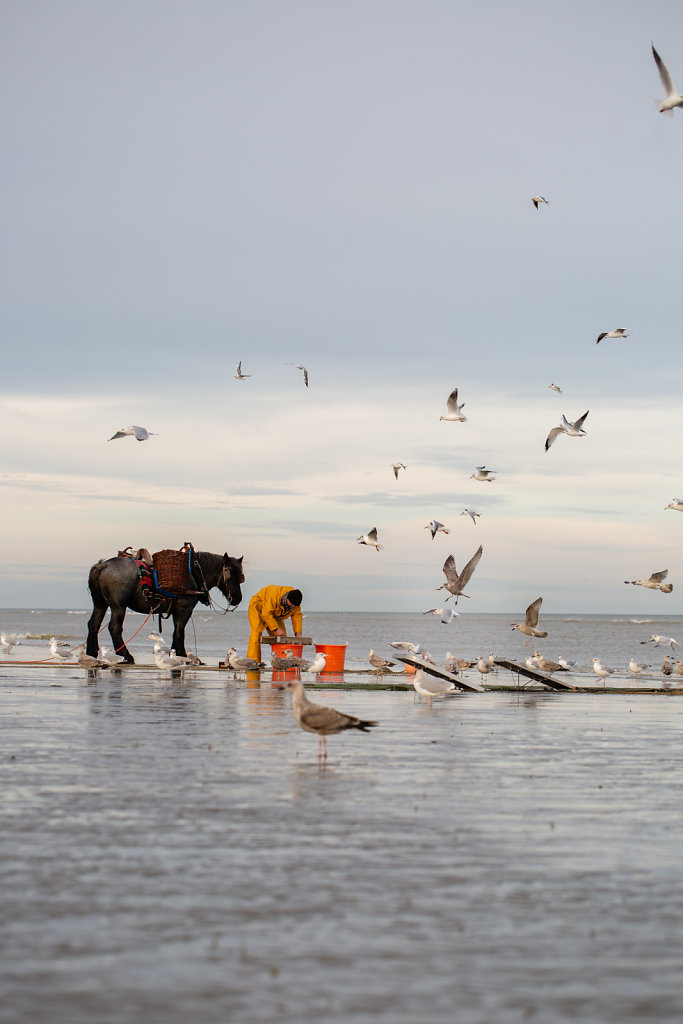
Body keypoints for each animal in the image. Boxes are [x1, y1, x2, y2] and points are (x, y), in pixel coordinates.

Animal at [87, 552, 244, 663]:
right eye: (231, 573)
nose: (238, 598)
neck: (193, 574)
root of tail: (102, 565)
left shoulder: (176, 611)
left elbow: (176, 632)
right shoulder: (184, 609)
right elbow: (180, 632)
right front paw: (182, 655)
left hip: (100, 604)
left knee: (93, 625)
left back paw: (91, 653)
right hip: (119, 607)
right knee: (115, 628)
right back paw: (125, 655)